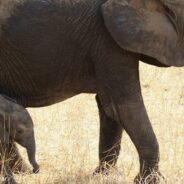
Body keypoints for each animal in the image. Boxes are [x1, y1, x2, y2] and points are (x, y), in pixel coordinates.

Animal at [0, 0, 183, 183]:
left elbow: (108, 107)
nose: (36, 171)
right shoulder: (107, 39)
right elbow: (123, 107)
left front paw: (102, 175)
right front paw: (147, 180)